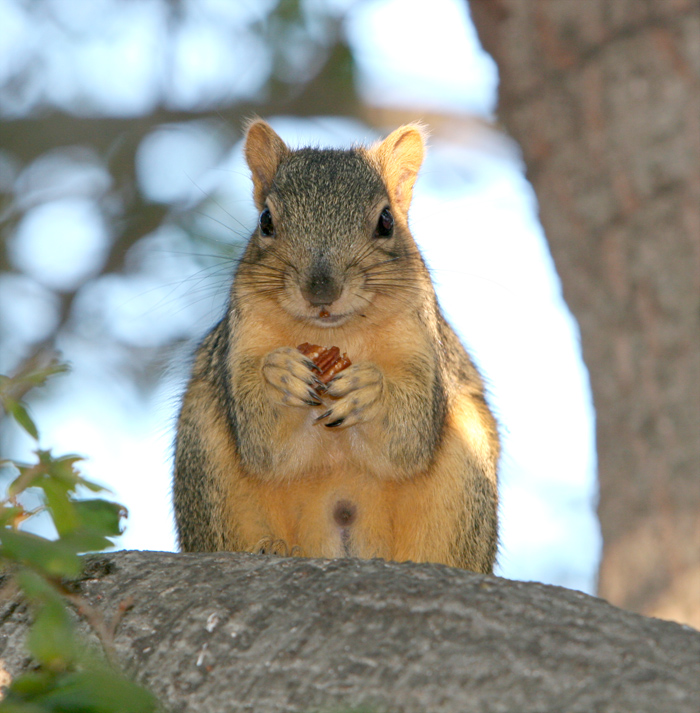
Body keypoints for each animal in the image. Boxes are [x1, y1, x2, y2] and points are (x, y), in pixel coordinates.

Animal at [175, 118, 504, 572]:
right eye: (265, 221)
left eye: (386, 221)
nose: (321, 291)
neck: (333, 333)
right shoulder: (240, 343)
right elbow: (262, 445)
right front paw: (279, 375)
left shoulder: (422, 347)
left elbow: (411, 438)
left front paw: (371, 390)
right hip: (203, 457)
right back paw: (271, 548)